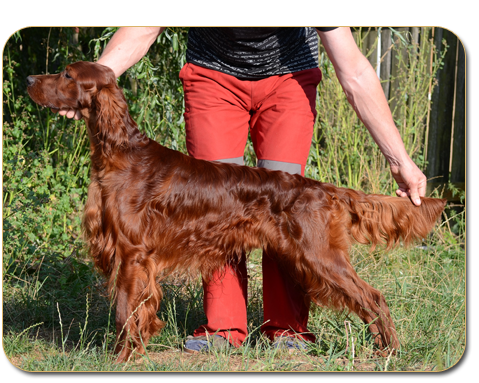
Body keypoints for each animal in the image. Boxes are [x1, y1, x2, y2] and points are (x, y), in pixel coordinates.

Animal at [25, 62, 446, 364]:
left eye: (67, 74)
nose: (28, 78)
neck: (120, 153)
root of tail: (322, 188)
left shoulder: (132, 254)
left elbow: (125, 311)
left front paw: (121, 357)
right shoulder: (133, 257)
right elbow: (134, 311)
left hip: (320, 256)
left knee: (373, 297)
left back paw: (389, 352)